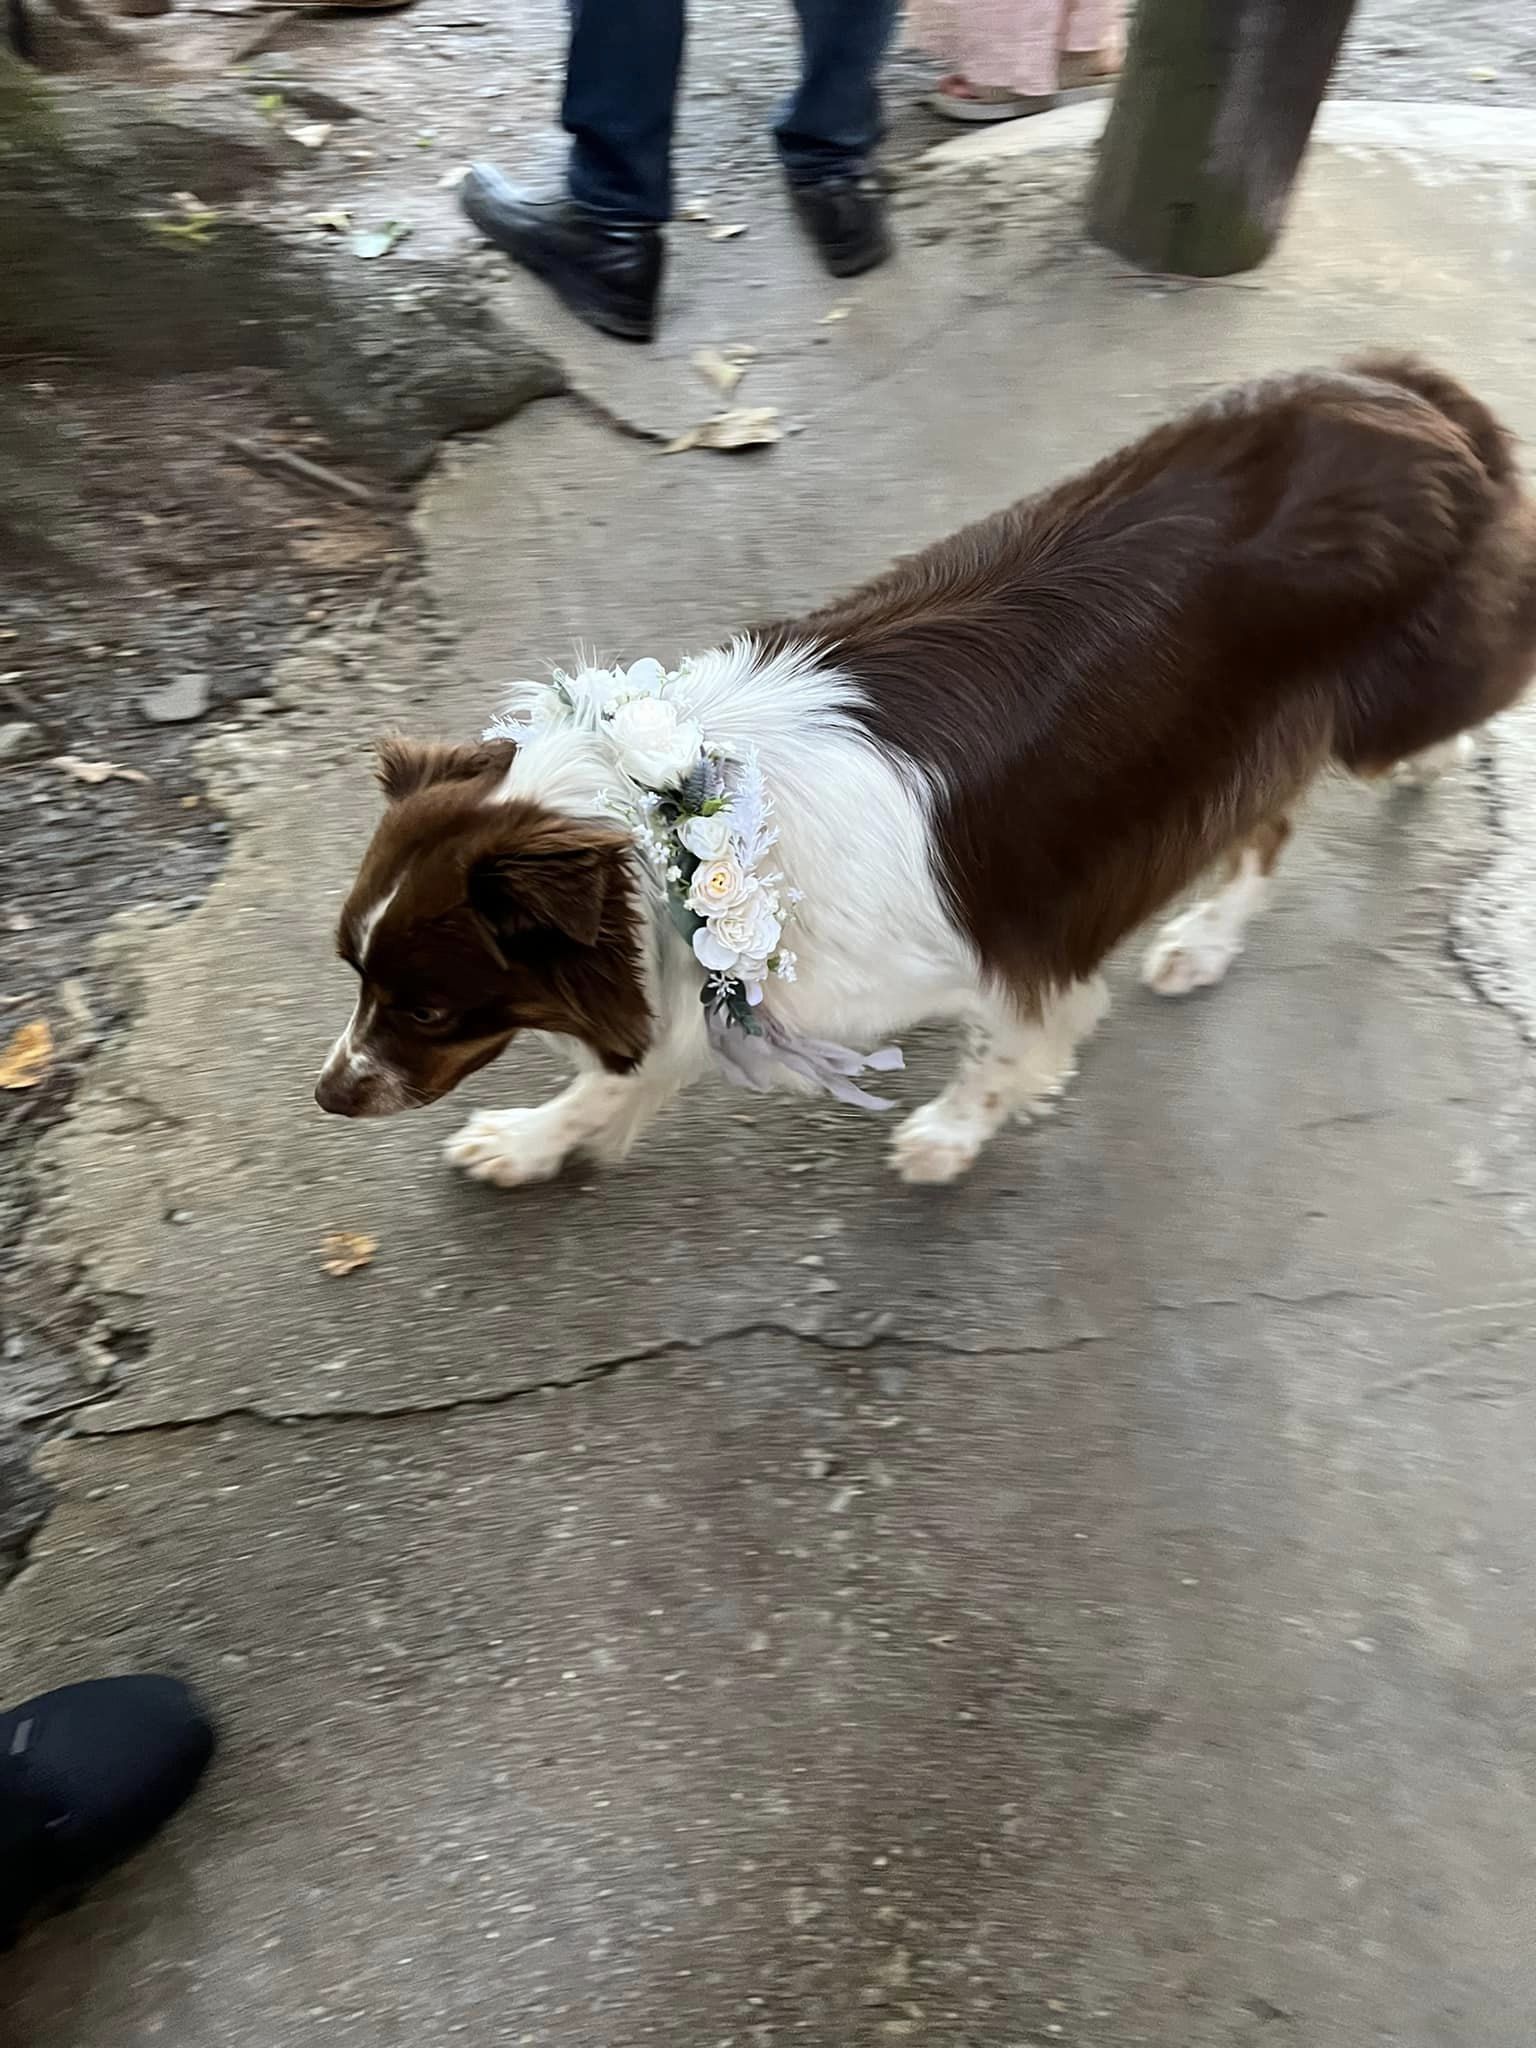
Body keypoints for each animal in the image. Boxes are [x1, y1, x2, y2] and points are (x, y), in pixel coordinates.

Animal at [315, 356, 1536, 1187]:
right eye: (353, 974)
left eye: (426, 1005)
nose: (328, 1095)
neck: (679, 824)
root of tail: (1403, 386)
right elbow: (626, 1071)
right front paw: (531, 1141)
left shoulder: (1017, 944)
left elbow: (1015, 1045)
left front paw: (952, 1133)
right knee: (1265, 824)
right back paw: (1203, 940)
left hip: (1364, 702)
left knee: (1447, 710)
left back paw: (1431, 763)